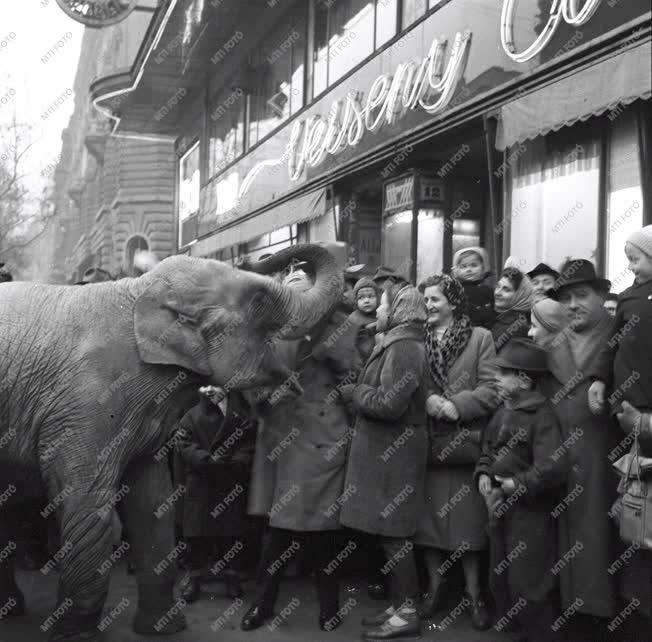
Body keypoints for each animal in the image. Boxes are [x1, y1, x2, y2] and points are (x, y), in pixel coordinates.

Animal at [0, 242, 344, 636]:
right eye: (258, 301)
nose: (285, 259)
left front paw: (164, 629)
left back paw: (11, 609)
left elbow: (152, 503)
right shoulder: (83, 406)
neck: (137, 295)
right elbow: (87, 500)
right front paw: (75, 635)